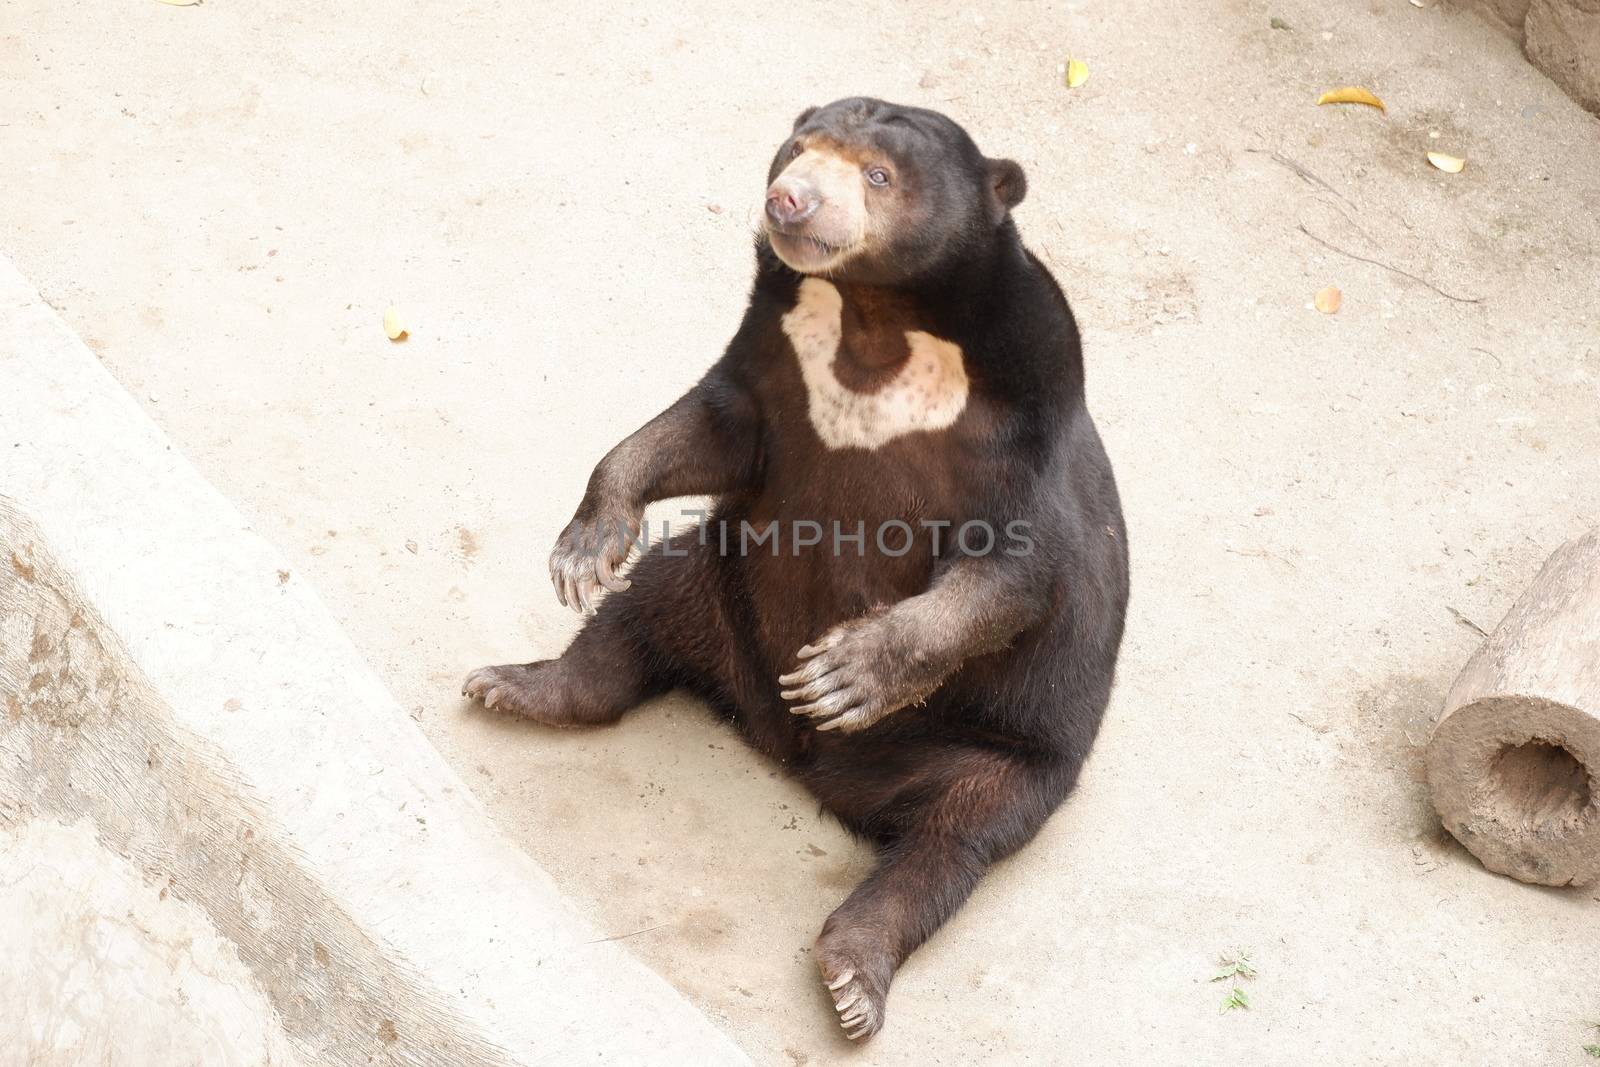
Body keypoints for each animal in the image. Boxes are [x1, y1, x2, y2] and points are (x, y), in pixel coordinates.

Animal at [467, 95, 1139, 1036]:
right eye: (799, 147)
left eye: (879, 174)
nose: (789, 201)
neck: (873, 313)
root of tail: (792, 753)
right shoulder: (775, 349)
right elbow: (708, 428)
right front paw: (584, 548)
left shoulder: (1023, 416)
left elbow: (1011, 569)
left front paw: (843, 674)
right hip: (718, 584)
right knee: (643, 606)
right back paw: (516, 684)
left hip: (1006, 742)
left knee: (956, 833)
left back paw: (855, 973)